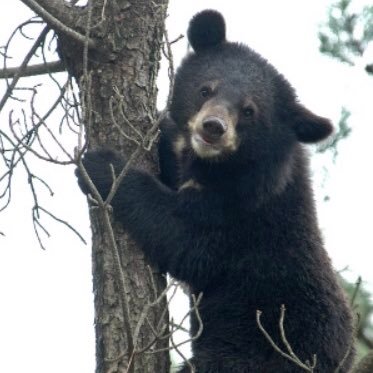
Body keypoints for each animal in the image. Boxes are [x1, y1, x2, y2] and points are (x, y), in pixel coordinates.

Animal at [77, 9, 354, 372]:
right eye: (206, 89)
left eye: (249, 111)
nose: (213, 128)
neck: (221, 169)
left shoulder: (238, 217)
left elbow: (182, 236)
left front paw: (100, 167)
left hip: (251, 351)